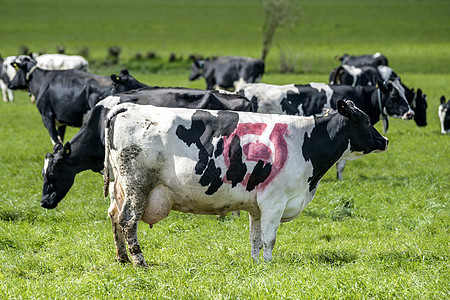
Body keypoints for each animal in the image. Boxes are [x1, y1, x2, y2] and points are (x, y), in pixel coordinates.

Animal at [96, 101, 388, 268]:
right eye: (365, 121)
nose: (385, 140)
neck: (305, 141)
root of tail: (129, 107)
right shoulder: (274, 202)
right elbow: (269, 238)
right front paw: (270, 266)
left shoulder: (258, 207)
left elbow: (255, 238)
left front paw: (256, 264)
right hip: (138, 184)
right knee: (128, 220)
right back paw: (139, 261)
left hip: (120, 188)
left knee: (114, 216)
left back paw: (122, 258)